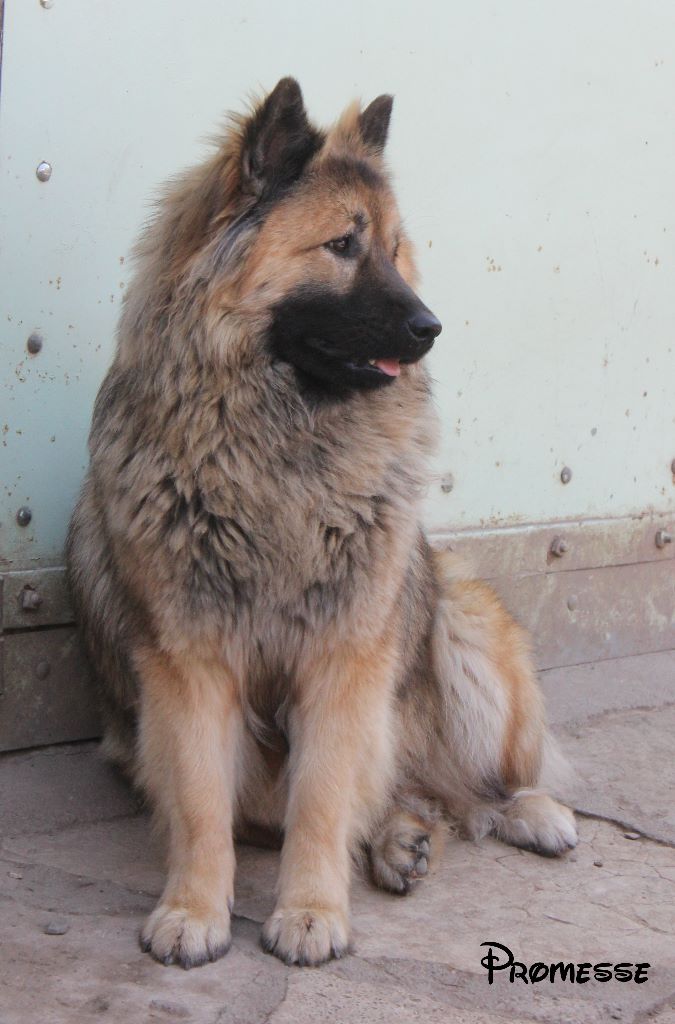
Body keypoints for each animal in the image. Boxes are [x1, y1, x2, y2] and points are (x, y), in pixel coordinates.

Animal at [66, 77, 577, 966]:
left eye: (396, 250)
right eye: (341, 245)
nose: (429, 328)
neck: (279, 443)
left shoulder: (344, 657)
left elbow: (324, 798)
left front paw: (310, 910)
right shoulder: (191, 663)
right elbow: (201, 803)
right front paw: (193, 909)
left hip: (463, 634)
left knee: (461, 784)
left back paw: (516, 813)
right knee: (418, 797)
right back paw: (403, 840)